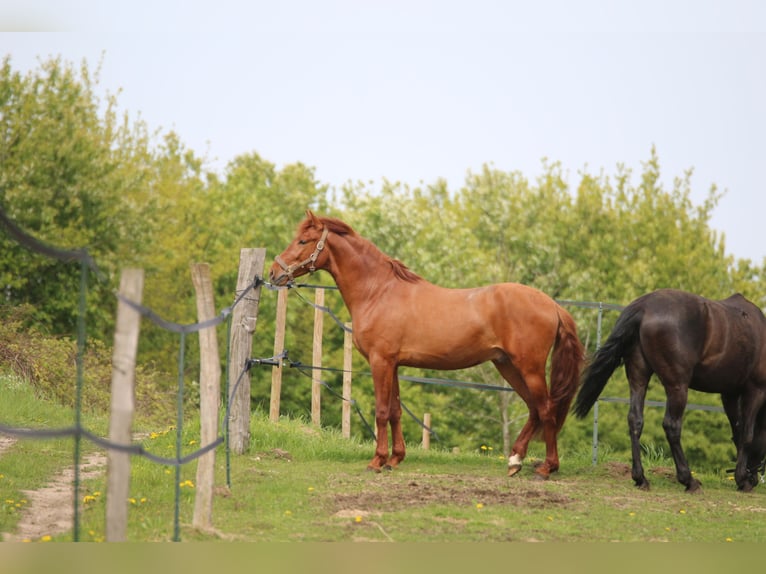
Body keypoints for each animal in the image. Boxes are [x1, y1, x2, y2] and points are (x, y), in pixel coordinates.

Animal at [268, 212, 584, 482]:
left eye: (303, 241)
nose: (273, 273)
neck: (378, 292)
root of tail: (552, 304)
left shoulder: (380, 361)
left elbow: (381, 411)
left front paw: (377, 461)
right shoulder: (393, 364)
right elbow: (395, 411)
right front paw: (395, 459)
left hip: (529, 368)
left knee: (546, 409)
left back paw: (546, 468)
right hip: (507, 365)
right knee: (534, 409)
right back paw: (515, 461)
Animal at [572, 290, 766, 492]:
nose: (754, 477)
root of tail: (644, 306)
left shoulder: (729, 394)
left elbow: (737, 431)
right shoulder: (756, 390)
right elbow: (747, 434)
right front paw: (742, 480)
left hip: (638, 378)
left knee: (635, 420)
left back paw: (640, 478)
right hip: (677, 386)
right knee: (672, 426)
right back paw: (688, 480)